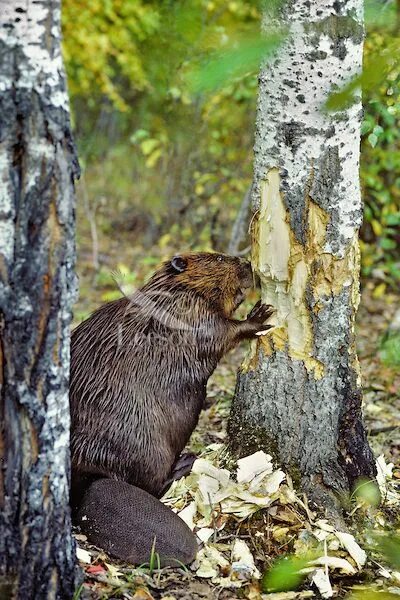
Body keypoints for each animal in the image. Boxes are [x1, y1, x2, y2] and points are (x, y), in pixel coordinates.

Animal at [69, 253, 276, 568]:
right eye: (218, 257)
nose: (247, 265)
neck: (175, 293)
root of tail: (93, 481)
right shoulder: (189, 315)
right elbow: (221, 332)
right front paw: (259, 314)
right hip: (149, 448)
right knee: (153, 484)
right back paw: (186, 462)